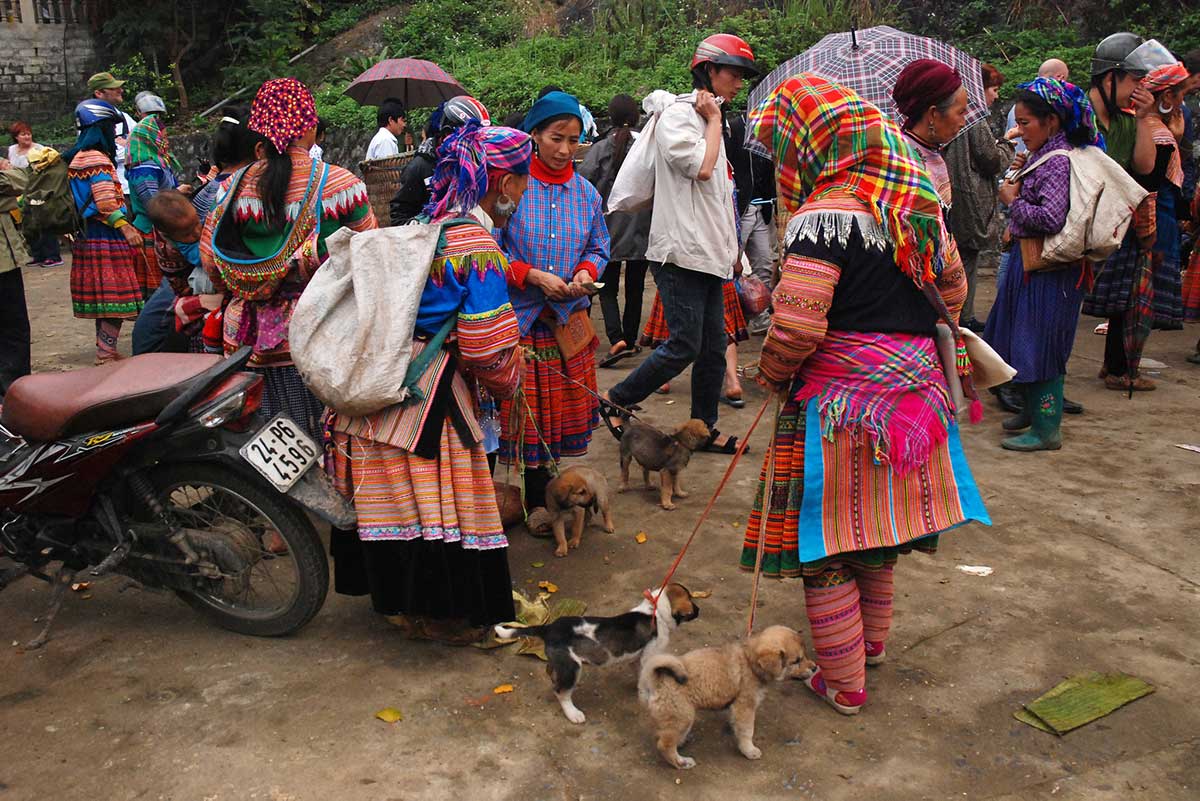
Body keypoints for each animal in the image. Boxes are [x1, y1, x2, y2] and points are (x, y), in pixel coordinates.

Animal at [496, 582, 700, 724]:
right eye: (691, 599)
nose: (699, 610)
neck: (656, 613)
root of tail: (548, 628)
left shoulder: (638, 658)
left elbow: (641, 675)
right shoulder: (650, 655)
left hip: (562, 663)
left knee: (552, 673)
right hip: (572, 667)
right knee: (561, 692)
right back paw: (573, 714)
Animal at [638, 623, 816, 767]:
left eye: (805, 656)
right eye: (797, 661)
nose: (815, 668)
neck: (750, 660)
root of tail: (656, 680)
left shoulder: (737, 708)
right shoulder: (745, 707)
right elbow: (747, 731)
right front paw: (749, 750)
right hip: (683, 716)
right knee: (664, 745)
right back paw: (681, 762)